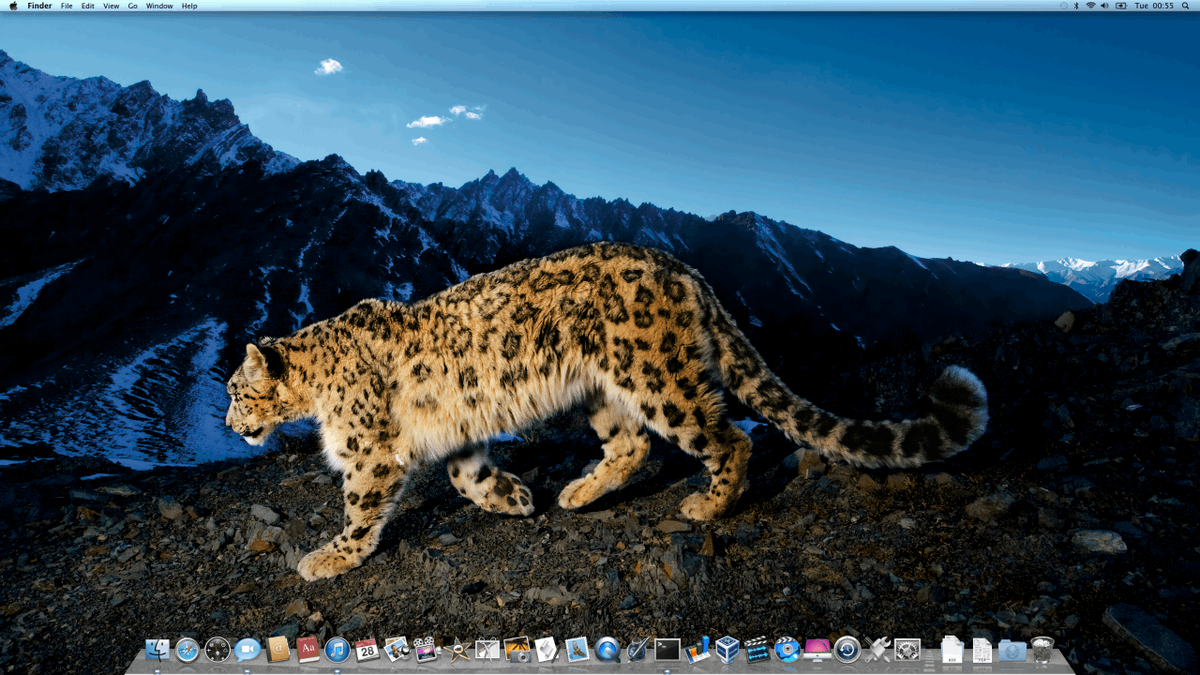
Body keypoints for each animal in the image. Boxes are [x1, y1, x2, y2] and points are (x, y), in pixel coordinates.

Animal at [224, 242, 988, 581]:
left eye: (234, 389)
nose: (230, 423)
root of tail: (684, 269)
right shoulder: (458, 433)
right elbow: (467, 475)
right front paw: (514, 497)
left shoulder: (369, 452)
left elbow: (360, 507)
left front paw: (329, 556)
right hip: (601, 391)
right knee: (633, 445)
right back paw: (576, 492)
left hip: (659, 376)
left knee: (725, 437)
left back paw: (706, 505)